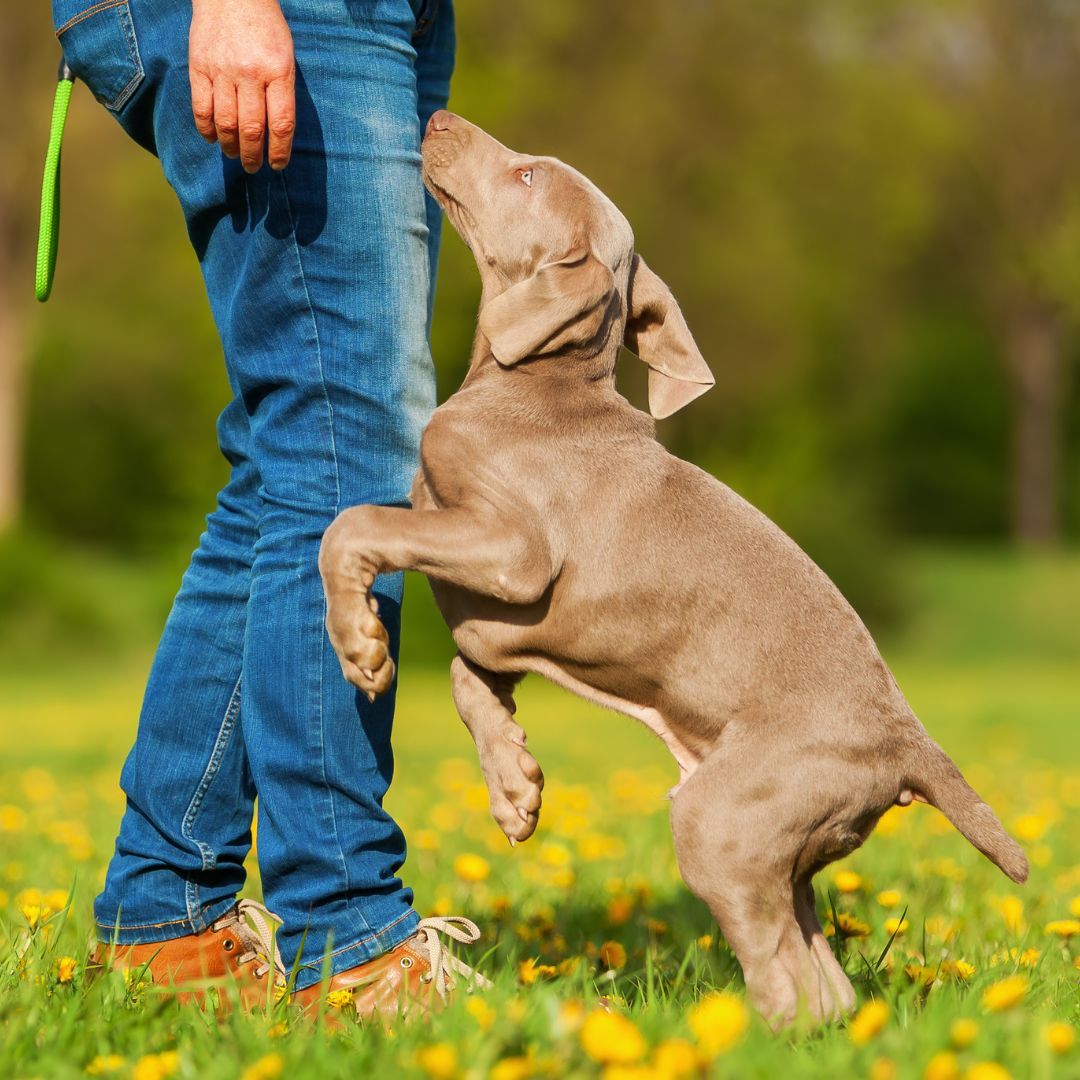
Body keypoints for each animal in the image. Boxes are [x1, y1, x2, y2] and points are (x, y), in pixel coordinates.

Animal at [315, 111, 1023, 1028]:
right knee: (824, 981)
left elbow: (353, 525)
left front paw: (360, 646)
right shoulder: (493, 606)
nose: (436, 118)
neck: (536, 382)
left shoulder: (515, 554)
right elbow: (471, 676)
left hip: (721, 820)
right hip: (783, 839)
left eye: (529, 174)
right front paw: (514, 786)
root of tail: (909, 743)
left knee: (785, 977)